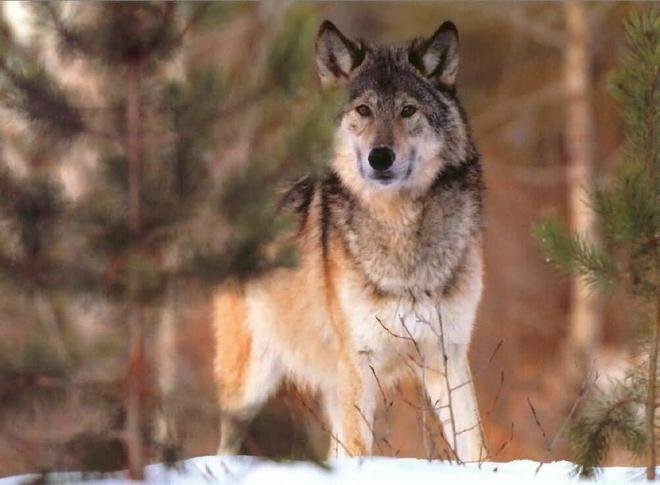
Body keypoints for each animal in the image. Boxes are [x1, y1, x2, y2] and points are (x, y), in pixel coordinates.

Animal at [214, 19, 486, 461]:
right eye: (364, 110)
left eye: (408, 110)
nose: (380, 157)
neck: (399, 232)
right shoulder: (361, 362)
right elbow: (362, 449)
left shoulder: (448, 354)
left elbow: (476, 446)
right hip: (249, 385)